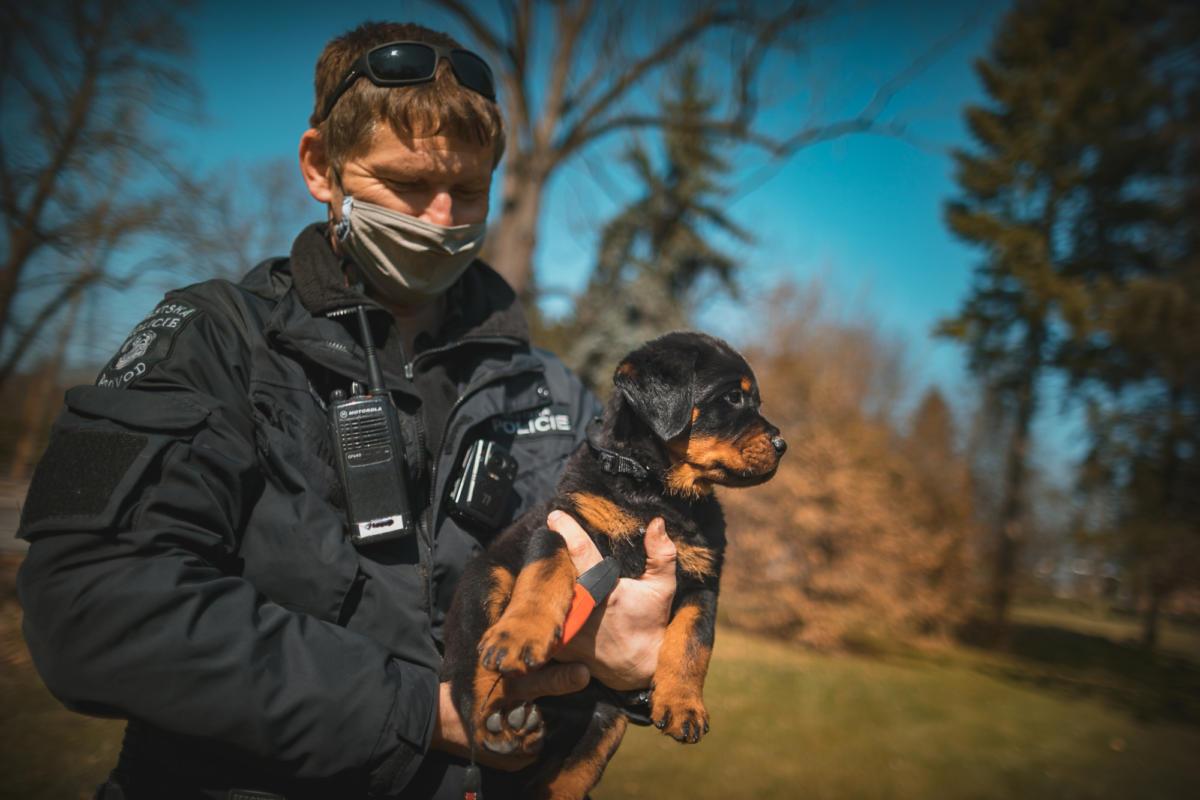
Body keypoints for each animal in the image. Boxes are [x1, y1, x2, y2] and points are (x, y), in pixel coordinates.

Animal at [441, 331, 787, 796]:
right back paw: (497, 722)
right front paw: (523, 634)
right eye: (733, 397)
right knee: (468, 679)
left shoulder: (703, 580)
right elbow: (543, 576)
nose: (783, 445)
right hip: (484, 582)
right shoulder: (563, 523)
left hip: (605, 725)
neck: (656, 491)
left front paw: (684, 705)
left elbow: (694, 642)